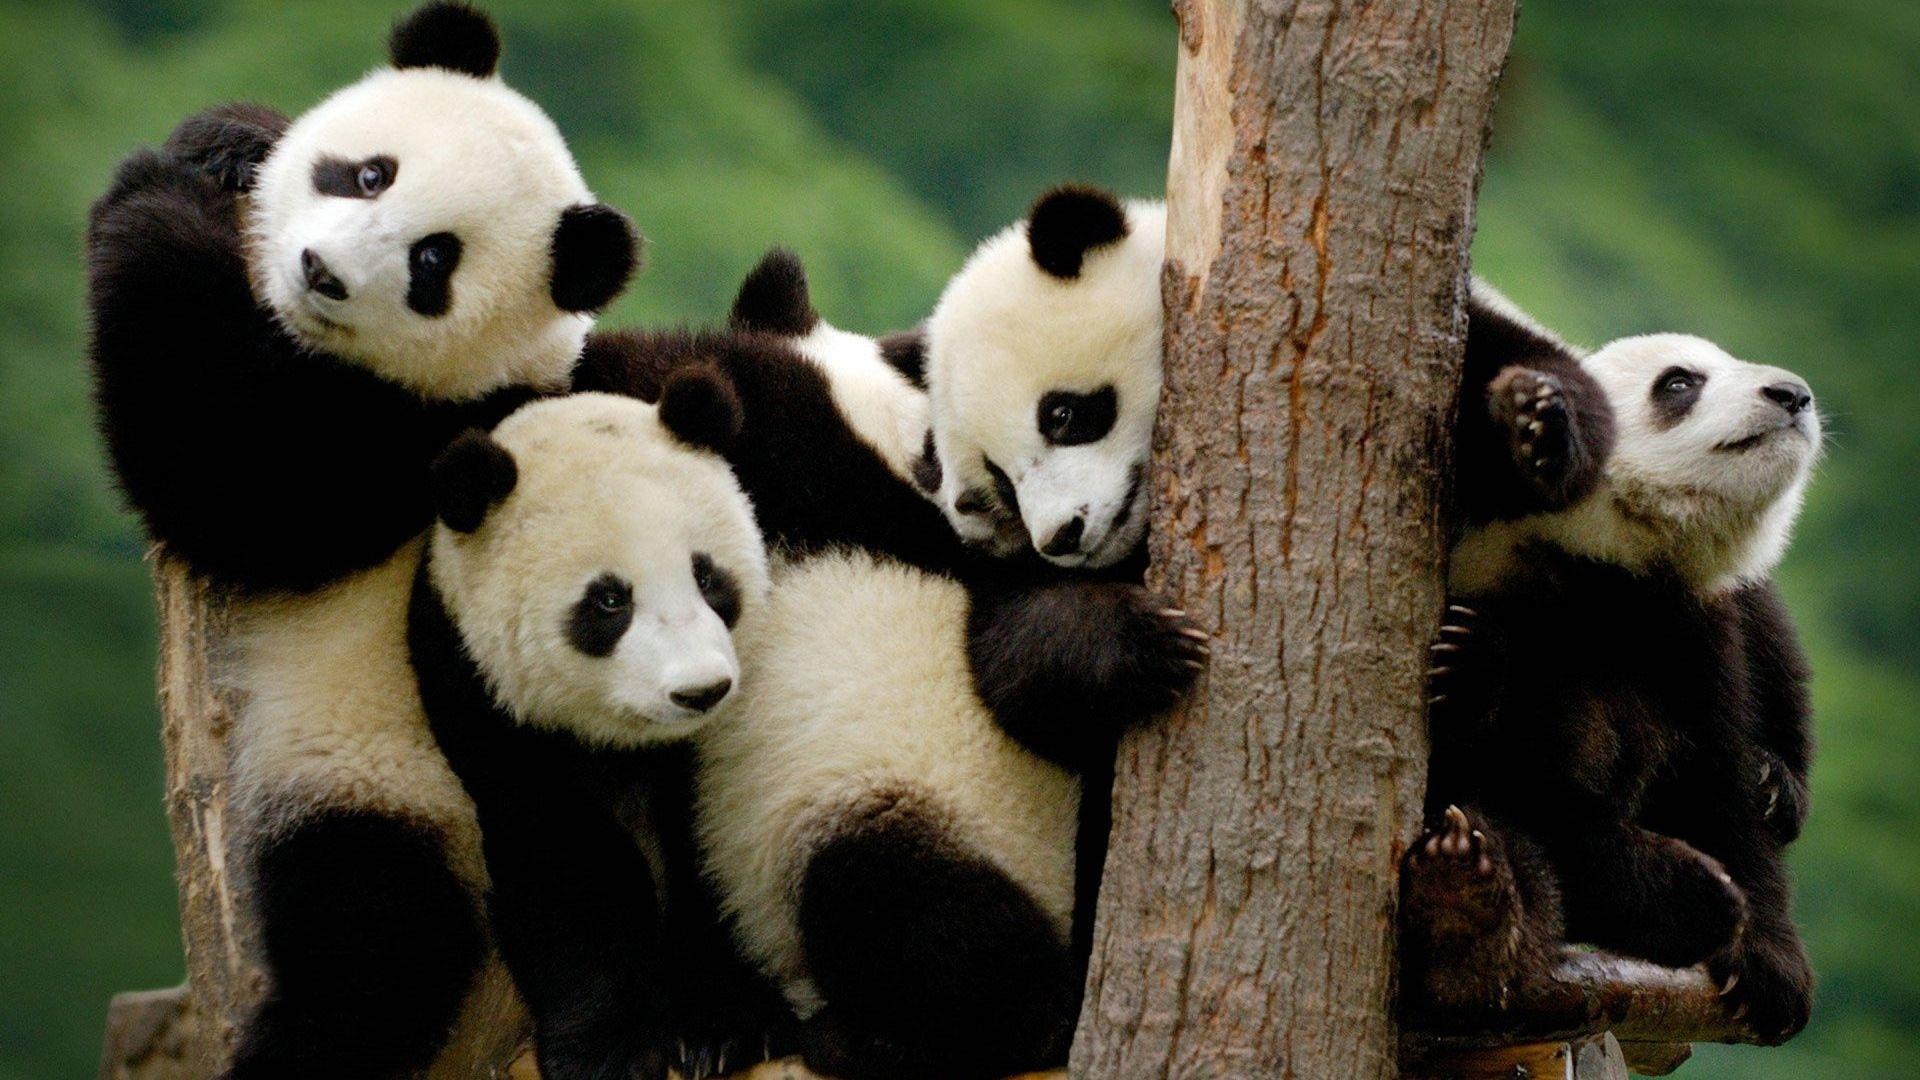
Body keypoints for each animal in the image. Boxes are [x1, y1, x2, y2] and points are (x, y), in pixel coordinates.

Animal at [83, 5, 637, 1075]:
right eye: (370, 173)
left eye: (434, 261)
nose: (320, 271)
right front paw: (225, 141)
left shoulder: (420, 442)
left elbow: (234, 480)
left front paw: (149, 198)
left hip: (394, 775)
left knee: (373, 948)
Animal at [406, 391, 792, 1080]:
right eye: (609, 601)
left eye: (708, 577)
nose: (701, 690)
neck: (625, 741)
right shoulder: (479, 696)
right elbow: (562, 863)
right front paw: (613, 1051)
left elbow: (709, 836)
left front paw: (726, 1025)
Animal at [1399, 286, 1821, 1043]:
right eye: (1679, 383)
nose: (1792, 394)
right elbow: (1536, 784)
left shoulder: (1690, 628)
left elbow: (1720, 778)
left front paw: (1770, 965)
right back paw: (1469, 915)